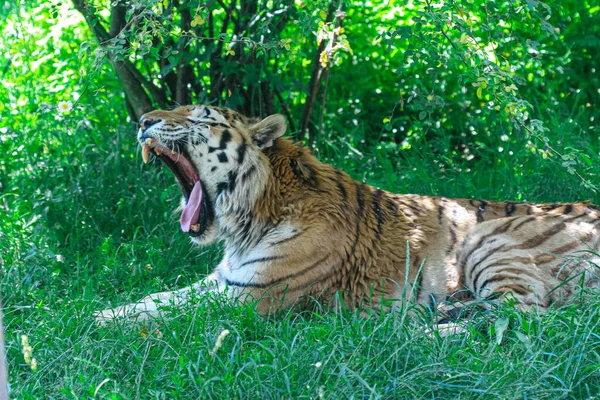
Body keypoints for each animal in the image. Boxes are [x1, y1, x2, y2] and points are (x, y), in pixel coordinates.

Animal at [94, 104, 600, 324]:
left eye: (200, 116)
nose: (143, 121)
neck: (249, 221)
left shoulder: (247, 299)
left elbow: (164, 316)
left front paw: (95, 328)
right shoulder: (222, 281)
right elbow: (150, 300)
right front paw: (94, 314)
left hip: (489, 240)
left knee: (525, 320)